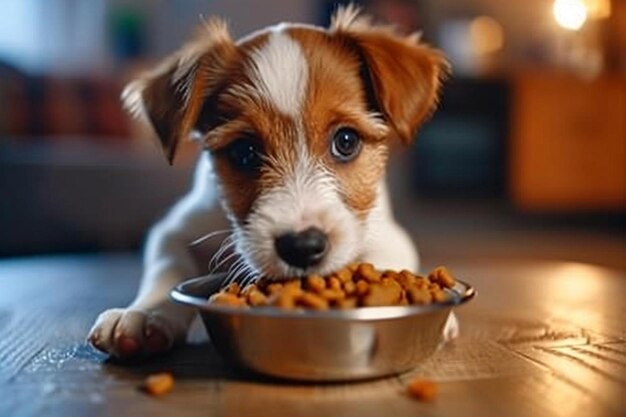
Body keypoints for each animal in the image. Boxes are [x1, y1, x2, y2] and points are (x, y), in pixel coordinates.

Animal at [86, 5, 454, 358]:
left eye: (346, 141)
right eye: (244, 151)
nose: (302, 247)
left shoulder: (386, 233)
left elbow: (379, 260)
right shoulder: (176, 230)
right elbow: (167, 268)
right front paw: (144, 314)